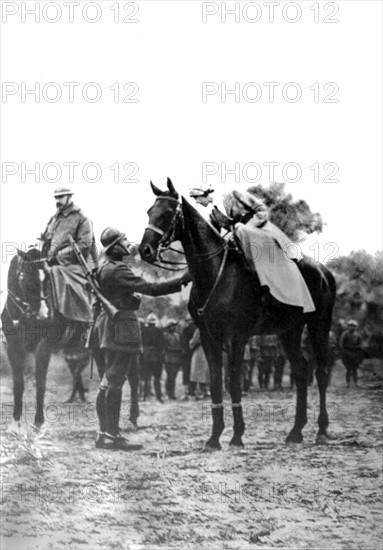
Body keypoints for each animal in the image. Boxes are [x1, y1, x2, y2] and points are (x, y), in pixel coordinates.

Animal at [1, 247, 90, 432]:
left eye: (48, 277)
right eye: (27, 277)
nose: (44, 315)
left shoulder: (43, 348)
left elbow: (40, 383)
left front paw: (38, 421)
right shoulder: (13, 347)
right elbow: (18, 384)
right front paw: (15, 422)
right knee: (77, 372)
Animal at [140, 181, 338, 452]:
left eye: (168, 213)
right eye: (150, 211)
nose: (144, 250)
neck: (216, 274)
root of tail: (323, 270)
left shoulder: (236, 338)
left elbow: (233, 383)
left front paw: (236, 435)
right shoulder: (208, 338)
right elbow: (215, 383)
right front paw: (214, 437)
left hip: (319, 326)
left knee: (321, 372)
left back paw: (322, 430)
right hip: (289, 331)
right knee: (300, 371)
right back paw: (296, 431)